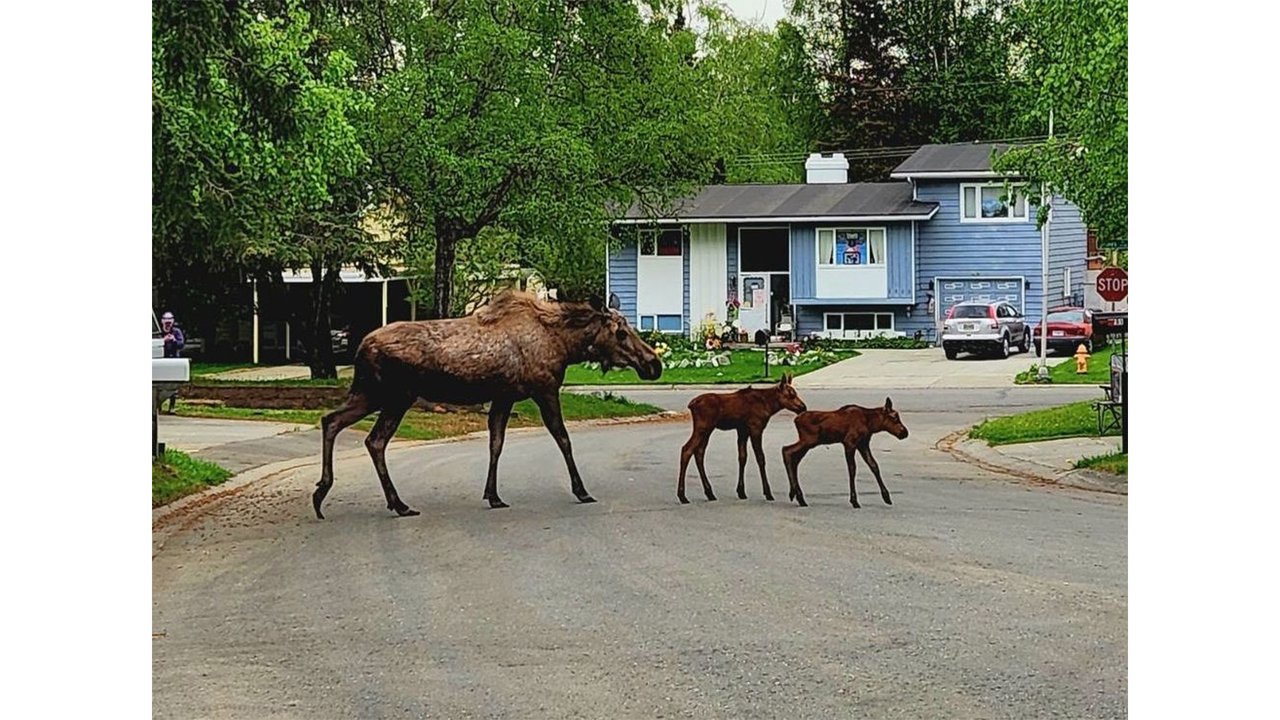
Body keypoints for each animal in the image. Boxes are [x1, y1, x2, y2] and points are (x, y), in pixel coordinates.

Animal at [314, 288, 665, 517]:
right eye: (620, 332)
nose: (654, 363)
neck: (566, 345)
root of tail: (360, 348)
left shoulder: (504, 396)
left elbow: (496, 442)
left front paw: (493, 495)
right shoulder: (544, 389)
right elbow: (563, 438)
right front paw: (581, 490)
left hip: (370, 394)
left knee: (332, 420)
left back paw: (323, 494)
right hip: (395, 396)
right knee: (373, 440)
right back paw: (395, 503)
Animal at [675, 371, 803, 502]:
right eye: (791, 395)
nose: (803, 407)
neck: (769, 406)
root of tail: (691, 404)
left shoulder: (742, 430)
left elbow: (742, 457)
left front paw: (741, 491)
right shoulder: (755, 428)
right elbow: (760, 458)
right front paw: (768, 493)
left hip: (707, 430)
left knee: (699, 452)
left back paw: (709, 493)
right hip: (702, 427)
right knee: (687, 449)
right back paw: (682, 495)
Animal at [778, 394, 911, 507]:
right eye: (894, 417)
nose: (904, 432)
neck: (871, 424)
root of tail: (795, 420)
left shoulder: (863, 444)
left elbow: (874, 466)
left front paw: (886, 497)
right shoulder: (849, 443)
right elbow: (852, 469)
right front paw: (854, 500)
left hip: (809, 443)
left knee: (793, 459)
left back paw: (797, 495)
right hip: (808, 440)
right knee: (786, 450)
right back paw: (797, 495)